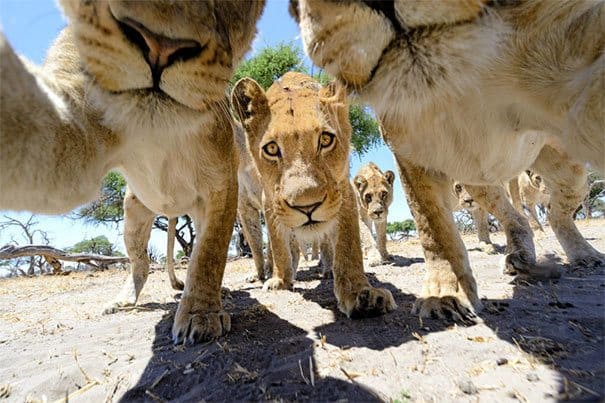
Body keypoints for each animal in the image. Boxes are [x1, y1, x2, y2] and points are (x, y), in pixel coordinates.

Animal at [0, 1, 264, 346]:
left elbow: (209, 253)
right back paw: (122, 301)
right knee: (140, 262)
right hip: (134, 213)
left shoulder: (221, 186)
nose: (161, 45)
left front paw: (201, 315)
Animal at [229, 72, 394, 318]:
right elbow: (278, 245)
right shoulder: (268, 200)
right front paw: (280, 280)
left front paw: (359, 292)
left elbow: (349, 243)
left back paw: (327, 269)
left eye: (325, 139)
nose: (307, 207)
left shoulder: (343, 188)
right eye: (271, 148)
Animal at [290, 0, 600, 322]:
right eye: (367, 196)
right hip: (481, 182)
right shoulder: (409, 154)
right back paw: (521, 257)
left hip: (566, 170)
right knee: (522, 216)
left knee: (555, 210)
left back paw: (582, 255)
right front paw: (445, 293)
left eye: (384, 195)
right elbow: (432, 227)